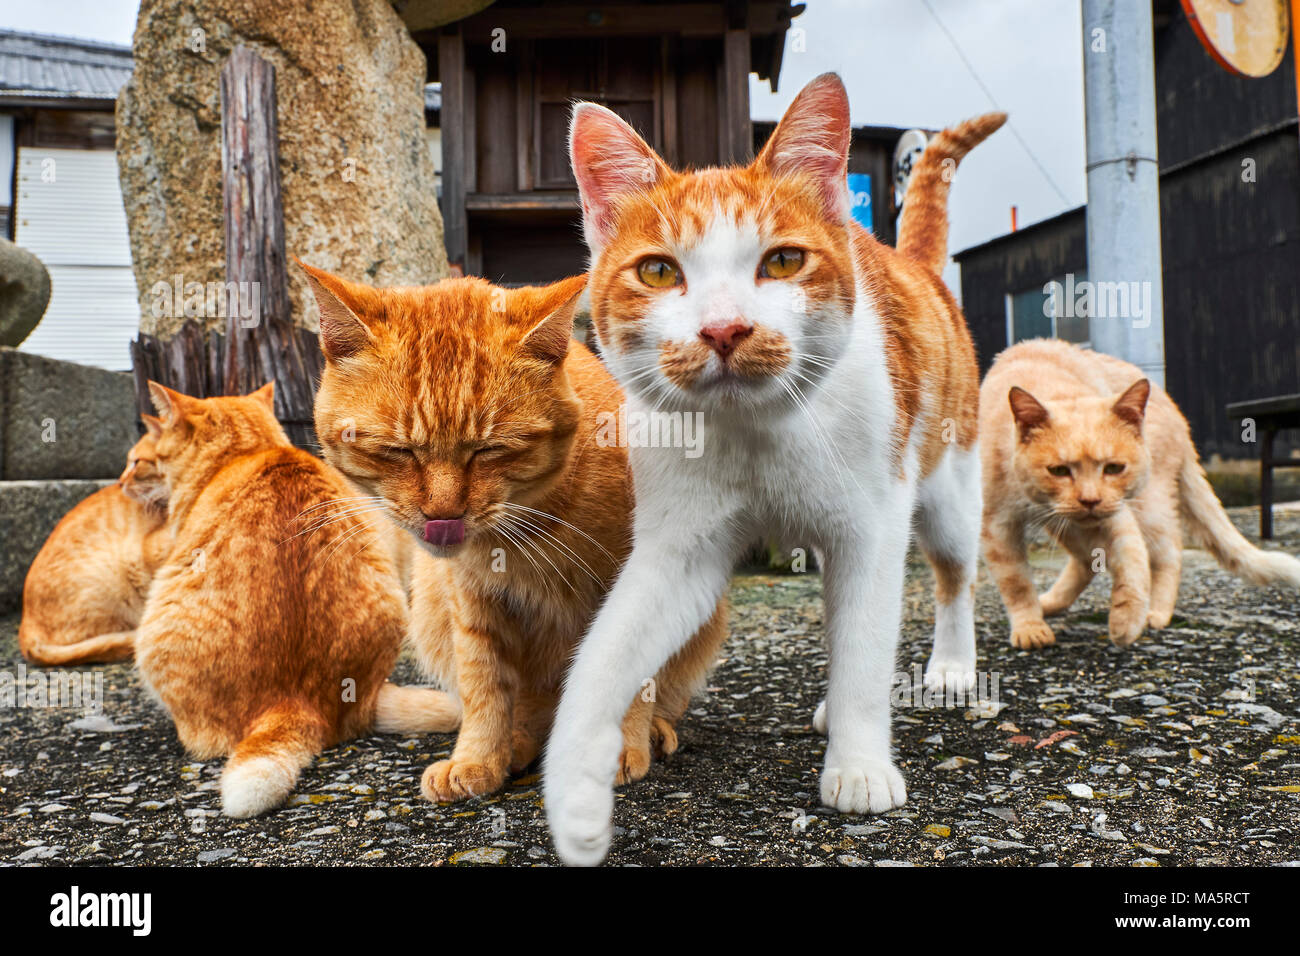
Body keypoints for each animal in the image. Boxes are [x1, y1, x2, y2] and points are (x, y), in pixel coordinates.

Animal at [543, 72, 998, 868]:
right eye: (658, 271)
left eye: (783, 261)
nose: (724, 329)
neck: (755, 432)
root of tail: (908, 261)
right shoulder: (679, 552)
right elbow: (604, 654)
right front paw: (575, 789)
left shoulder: (871, 529)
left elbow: (865, 641)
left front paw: (860, 765)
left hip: (946, 488)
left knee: (953, 577)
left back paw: (947, 667)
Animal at [982, 338, 1300, 650]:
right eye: (1059, 470)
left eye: (1114, 468)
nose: (1090, 500)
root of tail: (1179, 418)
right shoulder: (996, 526)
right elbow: (1016, 583)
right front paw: (1030, 627)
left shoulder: (1117, 513)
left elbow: (1134, 561)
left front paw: (1127, 621)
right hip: (1066, 523)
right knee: (1087, 562)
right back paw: (1049, 604)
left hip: (1148, 504)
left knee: (1169, 551)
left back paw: (1157, 611)